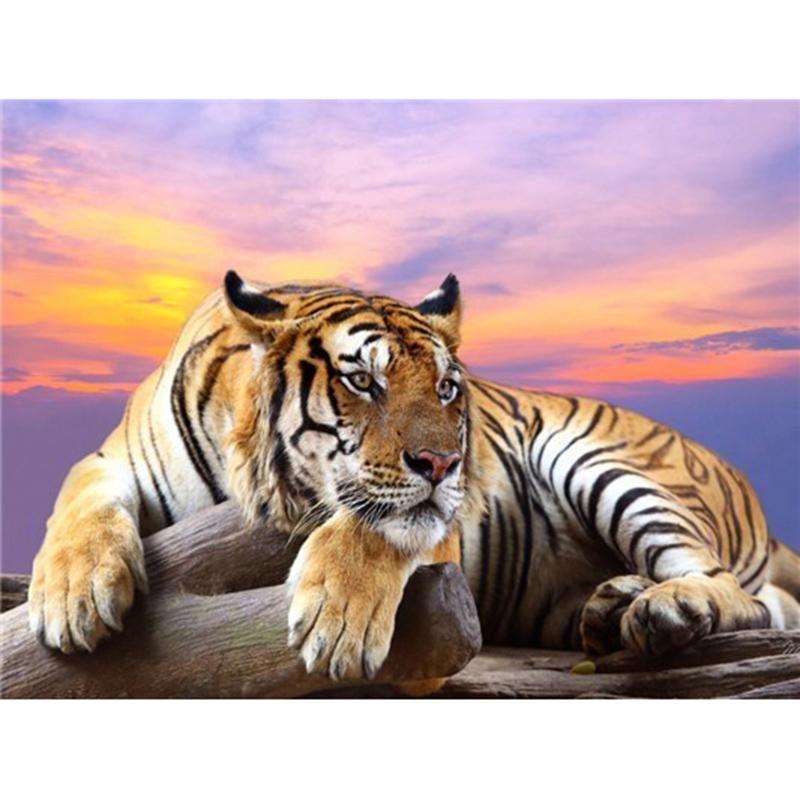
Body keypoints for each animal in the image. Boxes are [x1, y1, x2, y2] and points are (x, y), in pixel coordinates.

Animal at [28, 270, 800, 688]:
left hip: (596, 459)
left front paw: (337, 622)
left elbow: (380, 526)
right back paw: (611, 608)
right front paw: (73, 599)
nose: (444, 463)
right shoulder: (113, 459)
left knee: (750, 597)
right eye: (362, 381)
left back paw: (664, 610)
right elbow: (77, 498)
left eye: (448, 389)